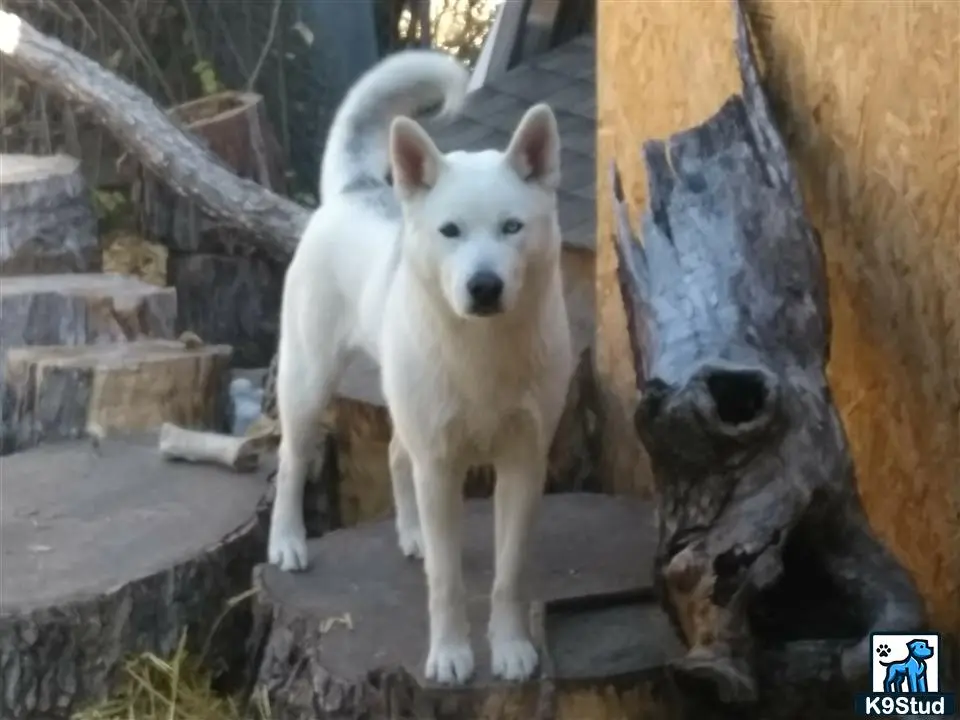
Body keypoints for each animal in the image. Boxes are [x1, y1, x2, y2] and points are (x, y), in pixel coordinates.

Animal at [266, 50, 572, 688]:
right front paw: (452, 655)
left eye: (512, 227)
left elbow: (508, 576)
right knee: (291, 461)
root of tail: (357, 190)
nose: (484, 286)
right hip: (308, 384)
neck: (483, 352)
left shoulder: (523, 464)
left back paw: (412, 535)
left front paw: (510, 648)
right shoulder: (440, 466)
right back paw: (287, 542)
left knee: (392, 454)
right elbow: (447, 583)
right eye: (450, 230)